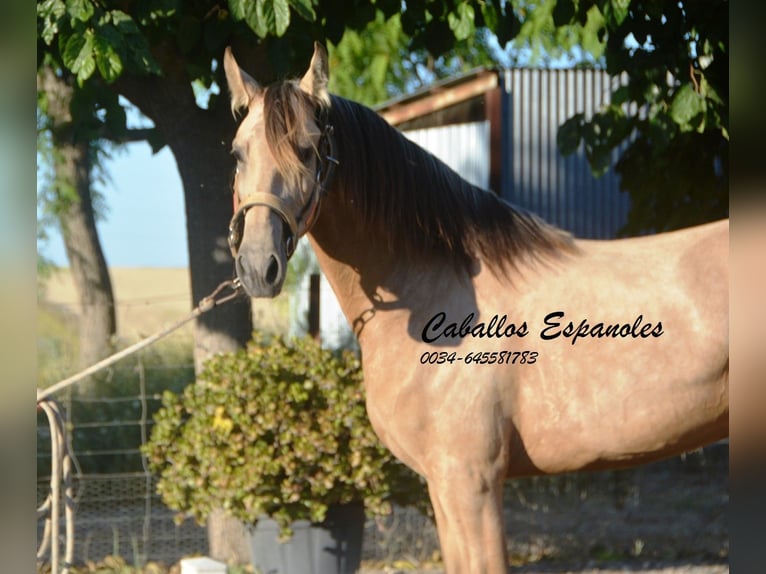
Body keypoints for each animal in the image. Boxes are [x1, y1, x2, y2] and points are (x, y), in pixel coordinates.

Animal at [222, 42, 732, 572]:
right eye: (237, 153)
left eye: (307, 149)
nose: (258, 265)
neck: (436, 291)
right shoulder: (444, 488)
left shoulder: (471, 483)